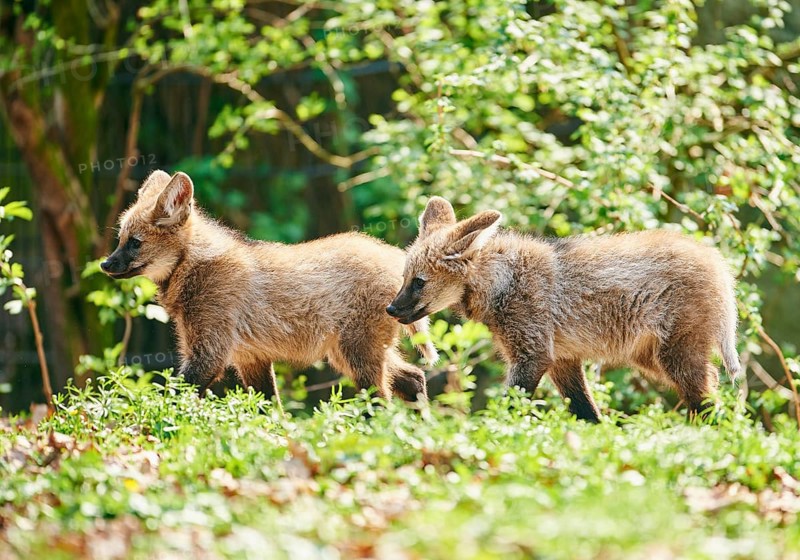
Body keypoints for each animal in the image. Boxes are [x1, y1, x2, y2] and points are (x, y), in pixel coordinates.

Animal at [102, 170, 436, 407]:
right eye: (120, 239)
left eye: (134, 243)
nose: (105, 264)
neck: (191, 266)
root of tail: (397, 258)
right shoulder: (249, 356)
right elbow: (268, 409)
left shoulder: (209, 353)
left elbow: (171, 398)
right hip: (346, 352)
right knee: (413, 377)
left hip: (356, 353)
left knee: (379, 401)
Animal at [387, 196, 740, 422]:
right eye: (404, 278)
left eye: (418, 282)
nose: (390, 309)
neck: (501, 281)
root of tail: (717, 261)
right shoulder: (561, 359)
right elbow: (585, 412)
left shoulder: (533, 355)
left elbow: (511, 408)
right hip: (649, 357)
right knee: (710, 383)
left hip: (673, 355)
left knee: (706, 393)